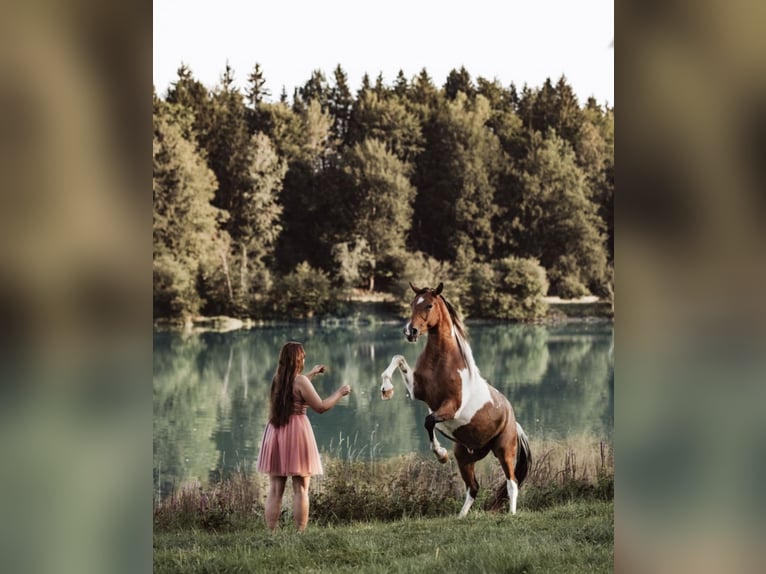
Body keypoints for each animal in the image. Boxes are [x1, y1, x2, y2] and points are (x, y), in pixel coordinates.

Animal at [380, 282, 531, 516]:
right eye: (413, 304)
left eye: (429, 305)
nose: (410, 332)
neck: (441, 362)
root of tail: (513, 420)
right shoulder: (416, 391)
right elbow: (398, 358)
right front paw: (386, 389)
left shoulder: (451, 407)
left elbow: (429, 421)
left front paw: (441, 455)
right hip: (465, 456)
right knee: (474, 487)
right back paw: (461, 517)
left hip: (504, 450)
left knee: (512, 482)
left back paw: (511, 514)